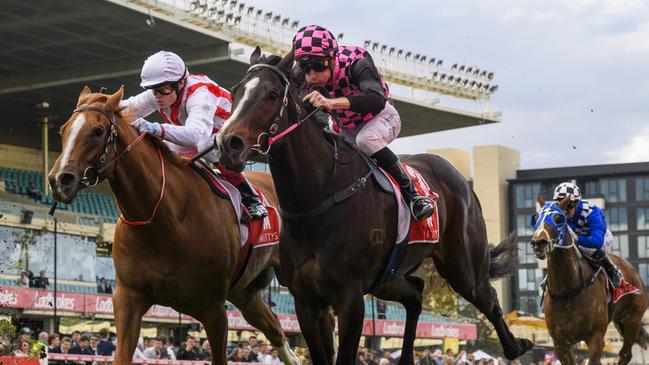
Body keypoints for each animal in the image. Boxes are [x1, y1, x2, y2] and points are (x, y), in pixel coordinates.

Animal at [48, 86, 302, 364]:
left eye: (97, 131)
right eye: (63, 130)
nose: (59, 180)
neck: (163, 223)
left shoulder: (214, 309)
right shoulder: (128, 298)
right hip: (244, 292)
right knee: (275, 329)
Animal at [216, 48, 532, 364]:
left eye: (271, 94)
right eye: (235, 91)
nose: (227, 143)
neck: (318, 198)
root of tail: (460, 179)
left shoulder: (350, 297)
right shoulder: (306, 301)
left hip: (463, 268)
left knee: (489, 299)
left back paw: (517, 346)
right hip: (387, 278)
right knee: (416, 294)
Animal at [528, 196, 644, 364]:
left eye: (558, 218)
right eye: (536, 217)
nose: (538, 243)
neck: (567, 291)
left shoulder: (596, 338)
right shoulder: (561, 343)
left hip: (632, 319)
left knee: (625, 354)